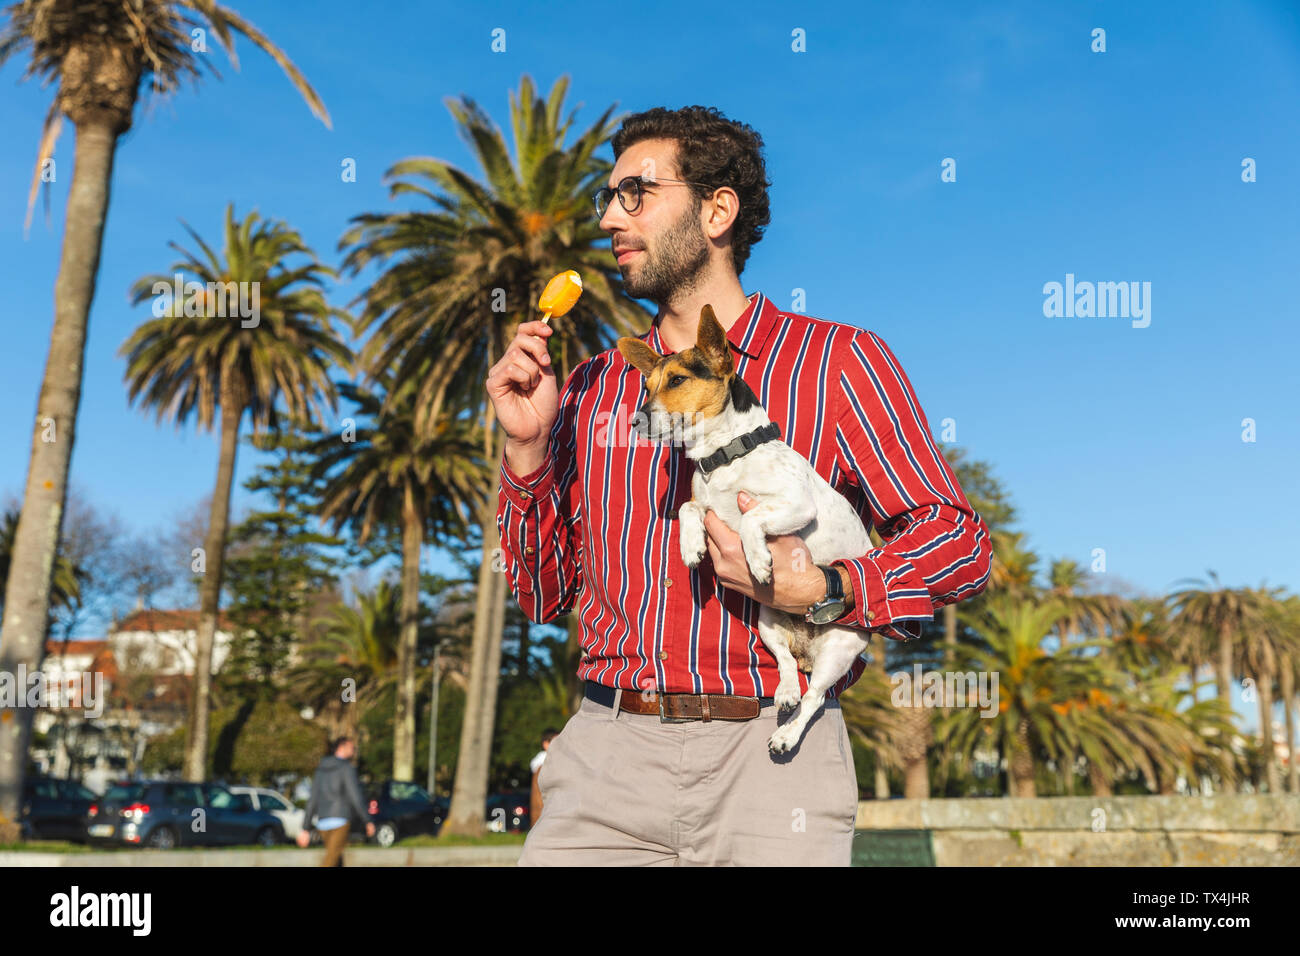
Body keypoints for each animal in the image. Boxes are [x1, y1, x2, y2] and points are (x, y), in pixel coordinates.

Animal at [616, 306, 873, 754]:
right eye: (647, 386)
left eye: (677, 380)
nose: (634, 420)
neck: (724, 454)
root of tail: (808, 647)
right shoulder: (705, 505)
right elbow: (688, 507)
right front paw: (691, 547)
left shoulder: (796, 504)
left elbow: (753, 518)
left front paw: (757, 559)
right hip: (768, 622)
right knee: (787, 666)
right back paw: (785, 690)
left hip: (838, 650)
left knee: (814, 698)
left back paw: (786, 735)